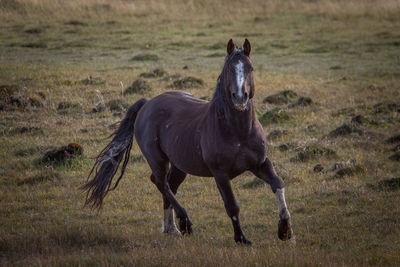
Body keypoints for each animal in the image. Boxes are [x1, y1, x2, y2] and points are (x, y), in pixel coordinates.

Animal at [82, 38, 294, 245]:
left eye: (250, 68)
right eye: (229, 69)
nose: (240, 97)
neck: (238, 132)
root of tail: (147, 104)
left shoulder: (261, 163)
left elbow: (278, 184)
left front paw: (285, 231)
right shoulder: (220, 174)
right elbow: (232, 205)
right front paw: (241, 238)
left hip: (179, 164)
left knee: (169, 186)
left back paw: (172, 228)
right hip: (157, 159)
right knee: (161, 183)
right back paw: (185, 223)